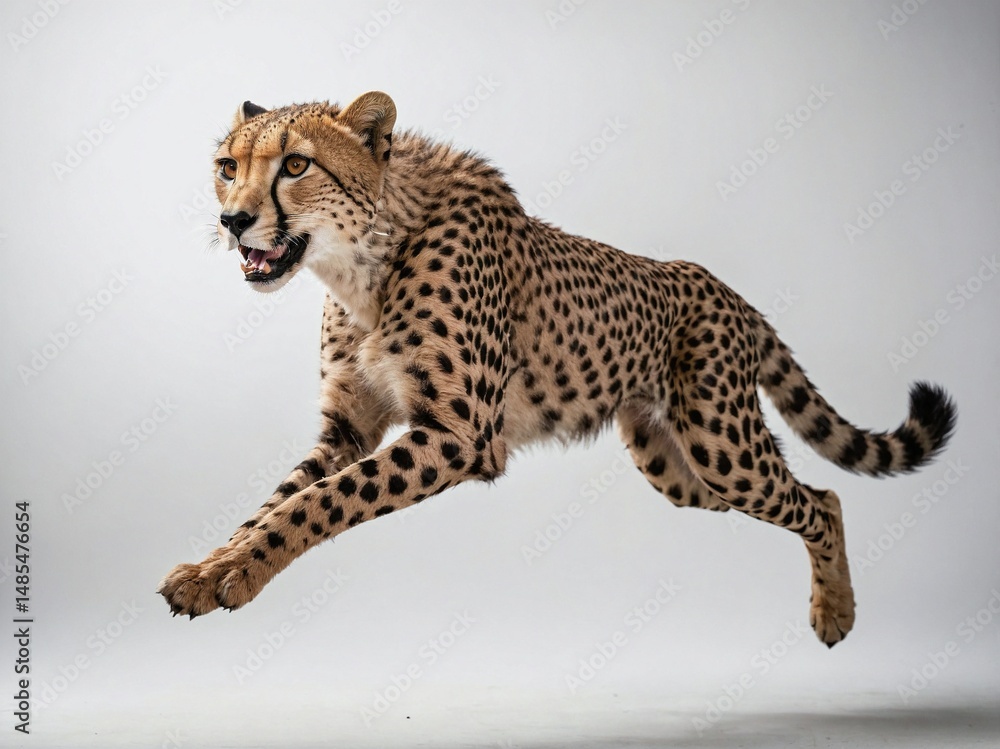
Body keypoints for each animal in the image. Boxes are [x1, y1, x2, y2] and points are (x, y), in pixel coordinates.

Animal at [159, 91, 957, 647]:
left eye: (296, 165)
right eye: (227, 167)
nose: (233, 220)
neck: (364, 264)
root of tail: (717, 284)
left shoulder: (460, 436)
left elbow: (319, 503)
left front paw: (238, 571)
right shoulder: (346, 429)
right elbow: (279, 498)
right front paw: (212, 567)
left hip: (722, 448)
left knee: (823, 500)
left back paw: (836, 613)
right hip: (679, 470)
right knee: (812, 493)